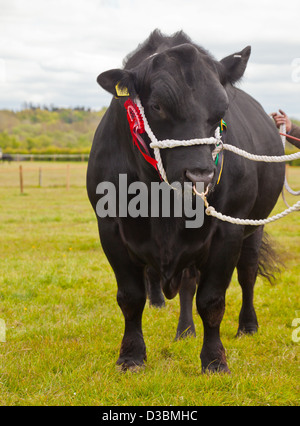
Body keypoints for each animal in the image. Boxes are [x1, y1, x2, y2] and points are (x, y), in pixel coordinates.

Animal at [86, 30, 284, 372]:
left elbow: (213, 299)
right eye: (157, 106)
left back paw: (247, 326)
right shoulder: (110, 227)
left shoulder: (227, 230)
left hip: (253, 227)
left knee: (246, 274)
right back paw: (185, 330)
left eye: (222, 109)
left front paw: (215, 360)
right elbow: (131, 297)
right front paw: (131, 356)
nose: (200, 175)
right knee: (188, 285)